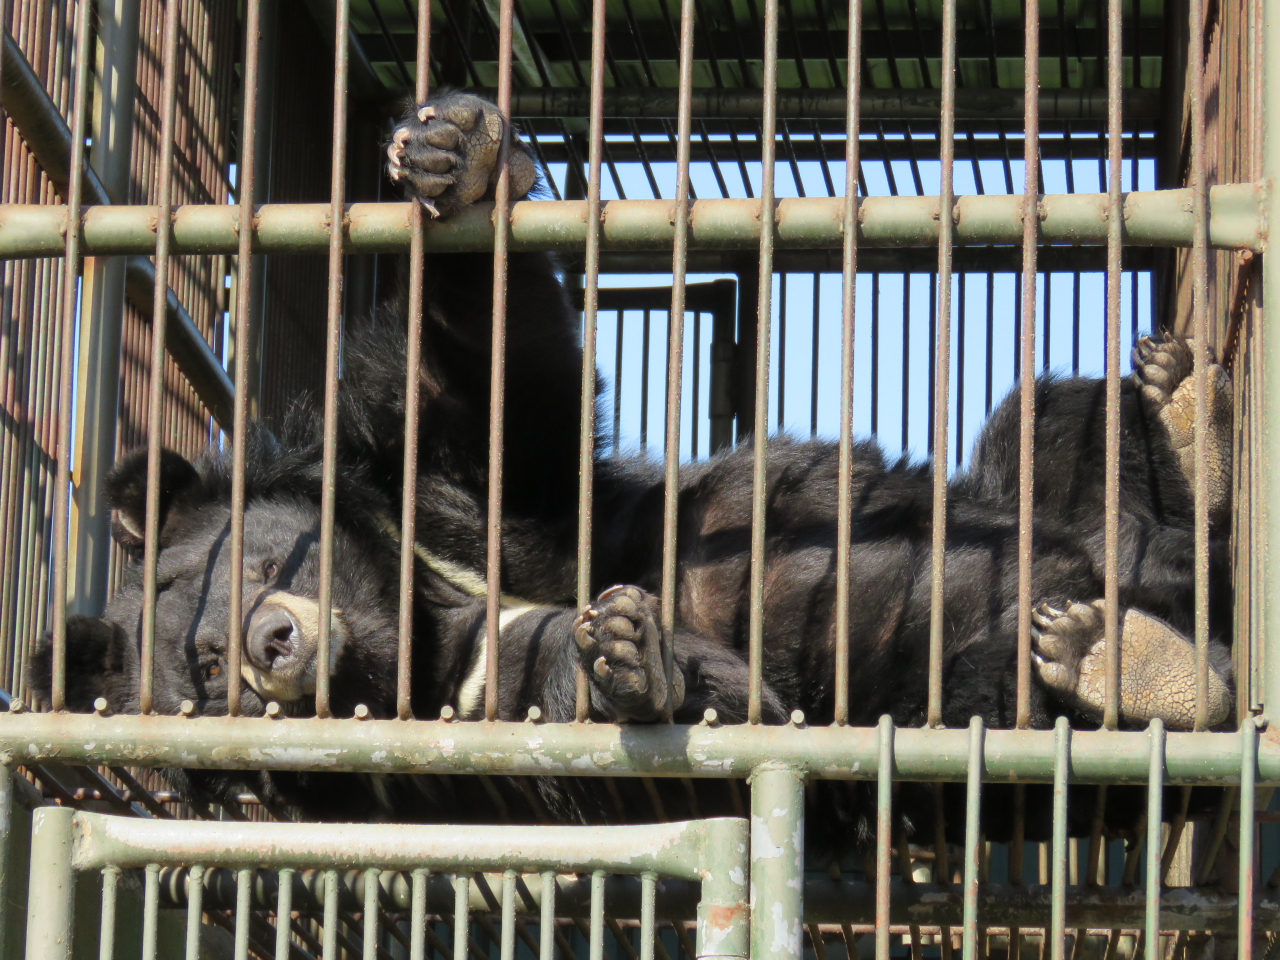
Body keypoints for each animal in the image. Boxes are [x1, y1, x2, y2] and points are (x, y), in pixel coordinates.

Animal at [27, 90, 1228, 839]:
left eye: (241, 569)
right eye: (204, 671)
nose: (272, 644)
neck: (407, 612)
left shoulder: (449, 492)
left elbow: (492, 388)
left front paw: (460, 155)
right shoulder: (433, 747)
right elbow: (643, 746)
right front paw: (630, 663)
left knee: (1057, 421)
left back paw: (1187, 421)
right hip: (975, 724)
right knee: (1027, 685)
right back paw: (1137, 669)